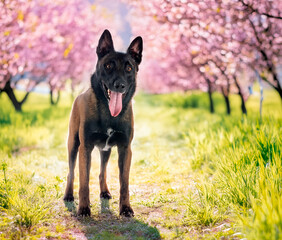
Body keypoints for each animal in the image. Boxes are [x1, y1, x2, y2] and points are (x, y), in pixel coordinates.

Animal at [64, 29, 143, 217]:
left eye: (129, 68)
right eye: (108, 66)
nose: (119, 85)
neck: (109, 113)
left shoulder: (125, 149)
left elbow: (124, 184)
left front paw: (126, 208)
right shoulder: (85, 148)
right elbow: (84, 182)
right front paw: (84, 208)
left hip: (106, 150)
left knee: (102, 172)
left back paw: (104, 192)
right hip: (73, 145)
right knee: (71, 173)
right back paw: (68, 195)